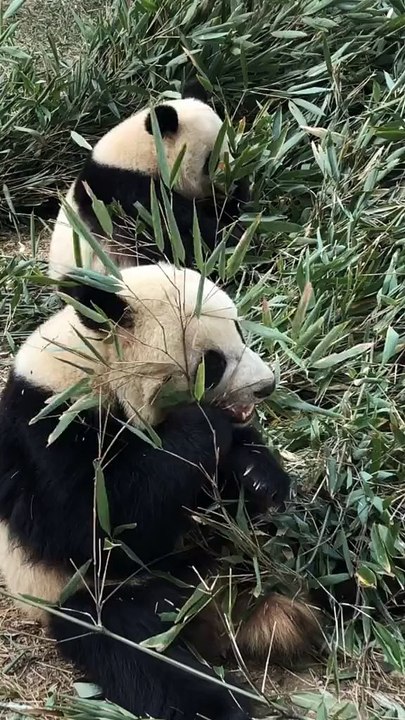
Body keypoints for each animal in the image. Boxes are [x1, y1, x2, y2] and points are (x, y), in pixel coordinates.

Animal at [0, 263, 319, 720]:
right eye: (213, 362)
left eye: (240, 329)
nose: (266, 386)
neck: (96, 365)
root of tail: (223, 606)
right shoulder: (48, 426)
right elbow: (93, 524)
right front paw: (202, 425)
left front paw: (259, 479)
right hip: (98, 598)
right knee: (149, 662)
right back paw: (222, 704)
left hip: (271, 555)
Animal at [48, 97, 249, 280]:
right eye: (209, 161)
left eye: (232, 148)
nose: (232, 185)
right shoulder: (127, 195)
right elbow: (183, 229)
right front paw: (231, 238)